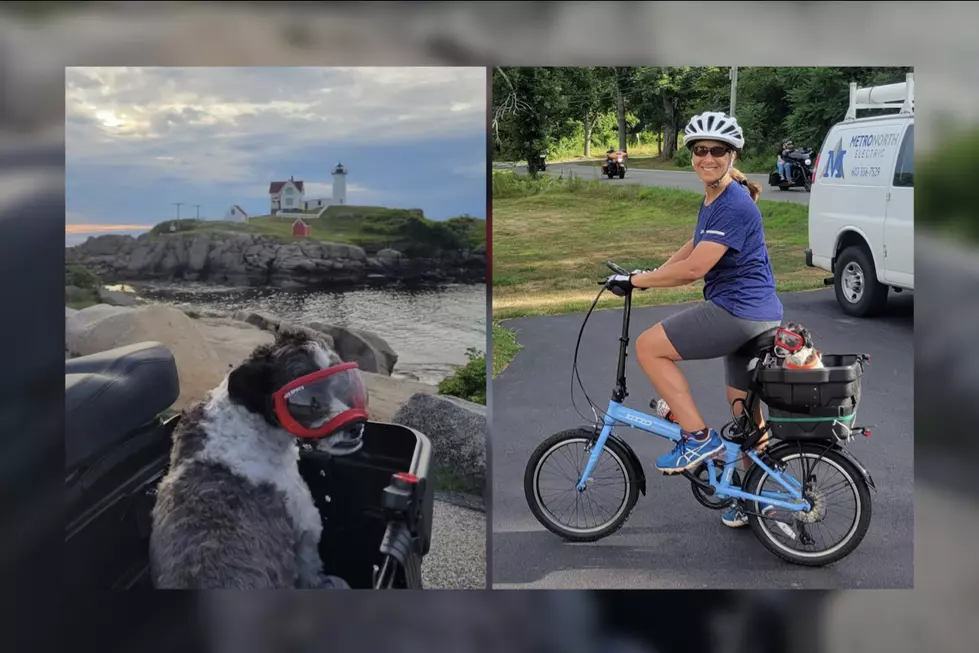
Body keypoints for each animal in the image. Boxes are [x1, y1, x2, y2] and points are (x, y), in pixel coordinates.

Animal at [147, 328, 370, 588]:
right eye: (308, 402)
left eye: (340, 383)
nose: (355, 426)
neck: (249, 420)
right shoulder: (307, 524)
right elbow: (310, 567)